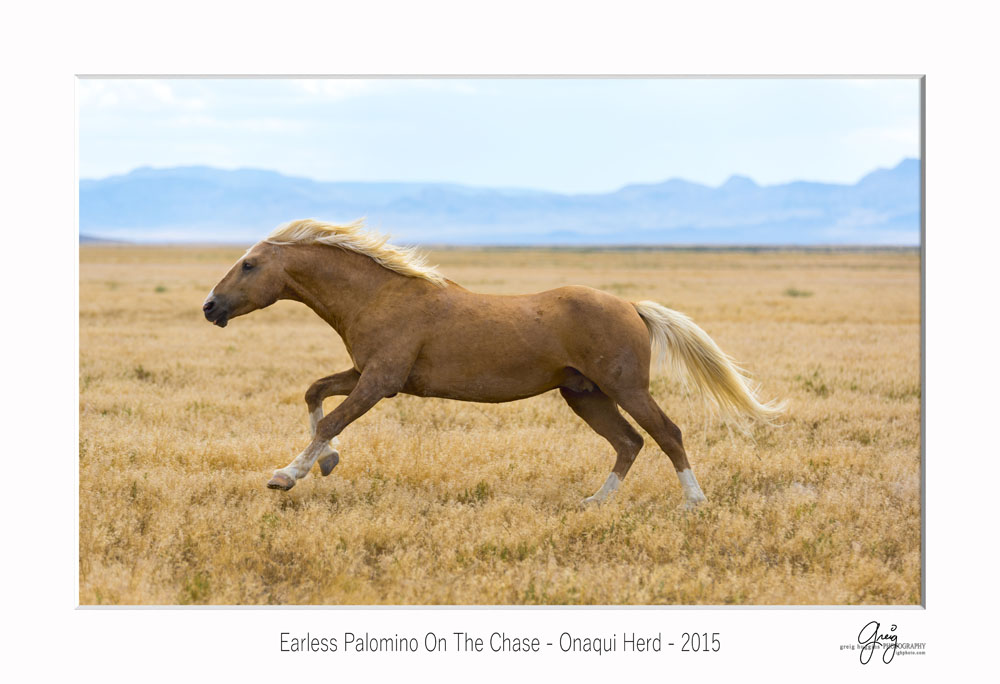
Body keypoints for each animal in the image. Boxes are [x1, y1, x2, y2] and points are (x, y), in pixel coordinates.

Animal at [203, 220, 780, 508]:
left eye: (249, 264)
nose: (211, 307)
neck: (380, 296)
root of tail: (632, 306)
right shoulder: (370, 374)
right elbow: (315, 393)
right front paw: (326, 462)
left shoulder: (381, 381)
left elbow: (331, 418)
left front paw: (287, 475)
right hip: (584, 394)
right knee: (629, 442)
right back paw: (594, 501)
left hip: (625, 388)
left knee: (666, 433)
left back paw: (694, 502)